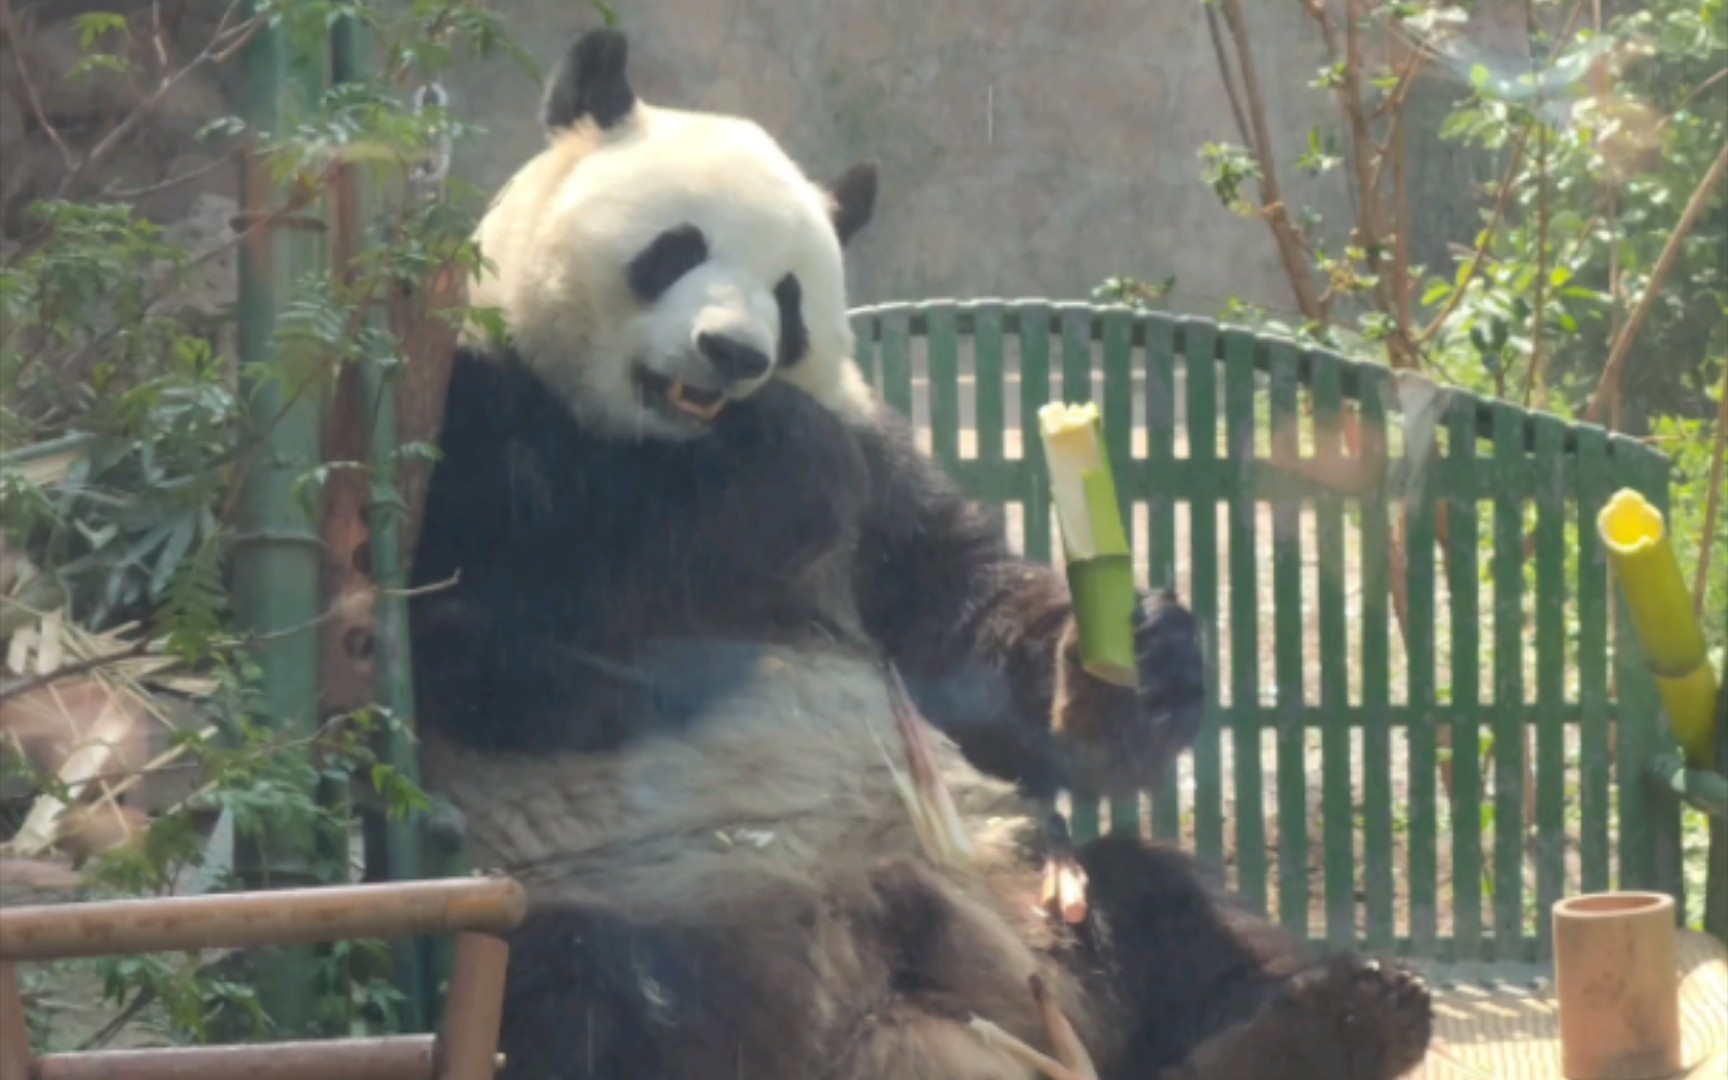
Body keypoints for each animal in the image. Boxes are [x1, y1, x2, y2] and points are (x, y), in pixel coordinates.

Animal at [404, 29, 1430, 1078]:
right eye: (677, 248)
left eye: (789, 298)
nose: (736, 354)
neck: (669, 441)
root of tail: (882, 1002)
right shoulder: (470, 411)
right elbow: (492, 637)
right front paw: (779, 467)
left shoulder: (885, 485)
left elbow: (963, 625)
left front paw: (1141, 661)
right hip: (626, 905)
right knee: (581, 986)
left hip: (1043, 901)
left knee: (1160, 899)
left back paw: (1325, 1019)